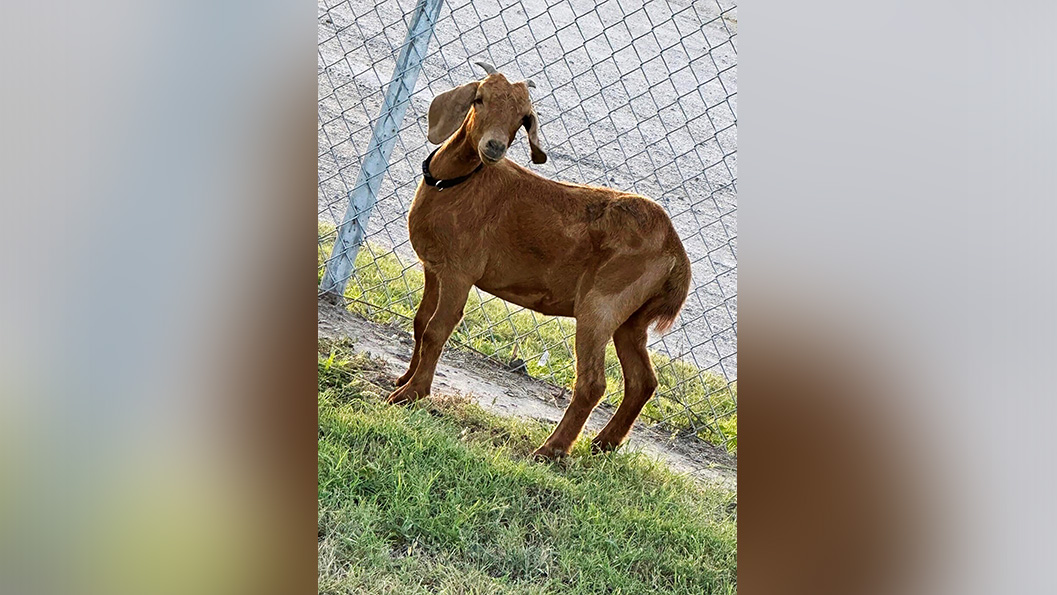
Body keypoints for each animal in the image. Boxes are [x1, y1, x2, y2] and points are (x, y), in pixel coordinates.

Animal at [388, 62, 692, 460]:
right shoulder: (433, 268)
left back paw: (552, 450)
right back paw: (602, 445)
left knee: (593, 383)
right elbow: (421, 322)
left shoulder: (459, 272)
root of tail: (675, 250)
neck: (458, 184)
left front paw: (411, 394)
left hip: (601, 305)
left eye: (523, 118)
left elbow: (438, 329)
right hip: (632, 319)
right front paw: (404, 379)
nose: (495, 147)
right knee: (643, 381)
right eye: (479, 98)